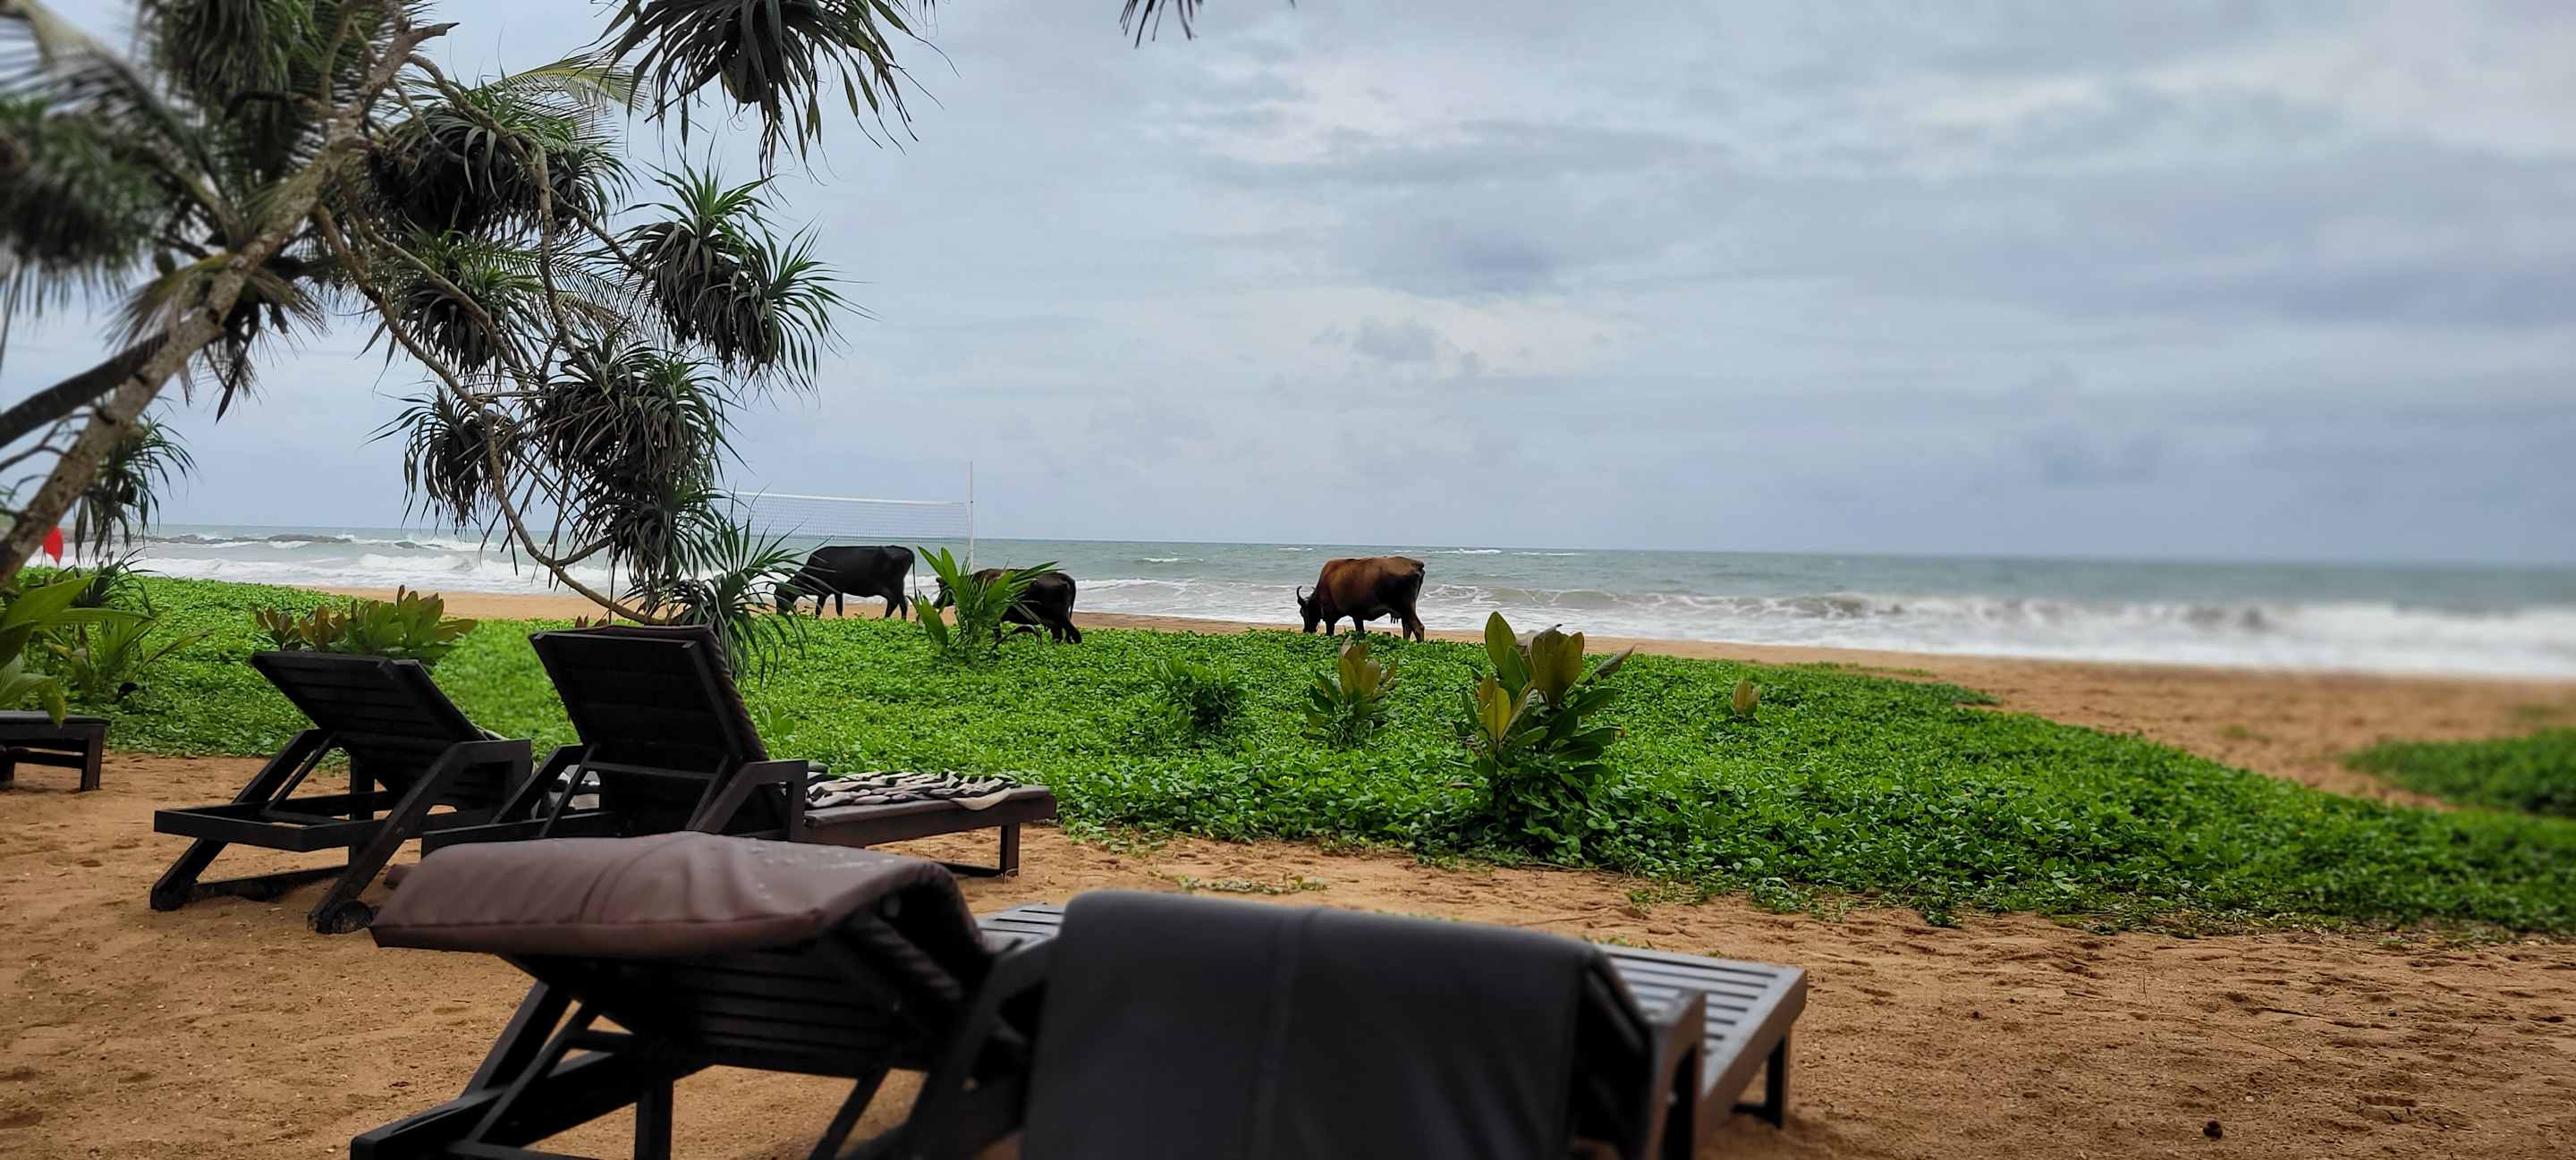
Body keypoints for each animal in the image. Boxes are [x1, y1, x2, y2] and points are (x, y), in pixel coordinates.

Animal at [774, 545, 915, 619]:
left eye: (779, 597)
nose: (778, 614)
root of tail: (906, 550)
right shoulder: (838, 591)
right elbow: (839, 609)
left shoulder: (823, 592)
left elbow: (818, 609)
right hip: (893, 587)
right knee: (899, 602)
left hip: (893, 586)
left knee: (899, 602)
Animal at [935, 568, 1083, 644]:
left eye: (944, 587)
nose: (935, 603)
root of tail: (1061, 576)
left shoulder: (993, 617)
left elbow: (998, 636)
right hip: (1053, 620)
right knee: (1058, 635)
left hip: (1061, 617)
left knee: (1075, 635)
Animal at [1296, 556, 1427, 641]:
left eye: (1303, 613)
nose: (1305, 631)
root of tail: (1416, 565)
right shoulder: (1357, 616)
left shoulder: (1330, 618)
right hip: (1407, 610)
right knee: (1407, 628)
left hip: (1405, 607)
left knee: (1418, 628)